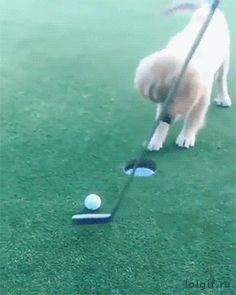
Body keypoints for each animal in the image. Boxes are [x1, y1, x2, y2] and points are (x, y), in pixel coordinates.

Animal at [134, 1, 231, 151]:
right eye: (159, 100)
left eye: (173, 98)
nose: (165, 119)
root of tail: (206, 7)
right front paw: (156, 138)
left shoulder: (202, 96)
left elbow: (193, 118)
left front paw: (186, 137)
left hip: (225, 58)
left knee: (221, 80)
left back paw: (224, 98)